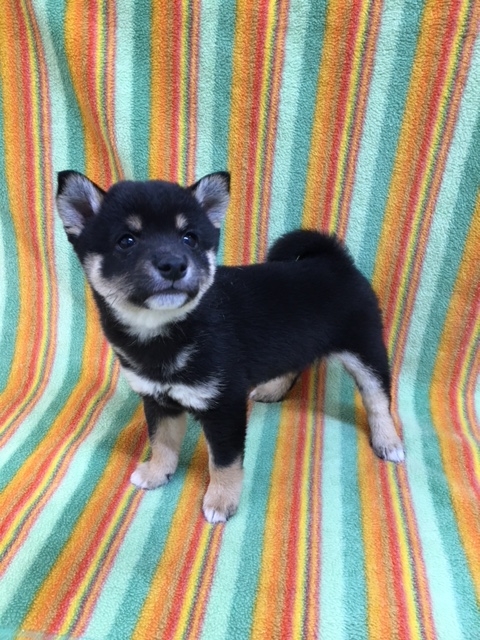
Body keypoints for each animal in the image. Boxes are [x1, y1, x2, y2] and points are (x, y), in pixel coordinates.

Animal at [56, 170, 404, 523]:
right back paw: (272, 389)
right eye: (126, 240)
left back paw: (387, 441)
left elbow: (223, 461)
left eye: (190, 239)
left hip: (365, 348)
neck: (165, 333)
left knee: (378, 398)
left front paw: (221, 500)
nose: (173, 264)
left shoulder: (224, 407)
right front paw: (157, 472)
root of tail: (335, 259)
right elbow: (162, 442)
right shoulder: (157, 399)